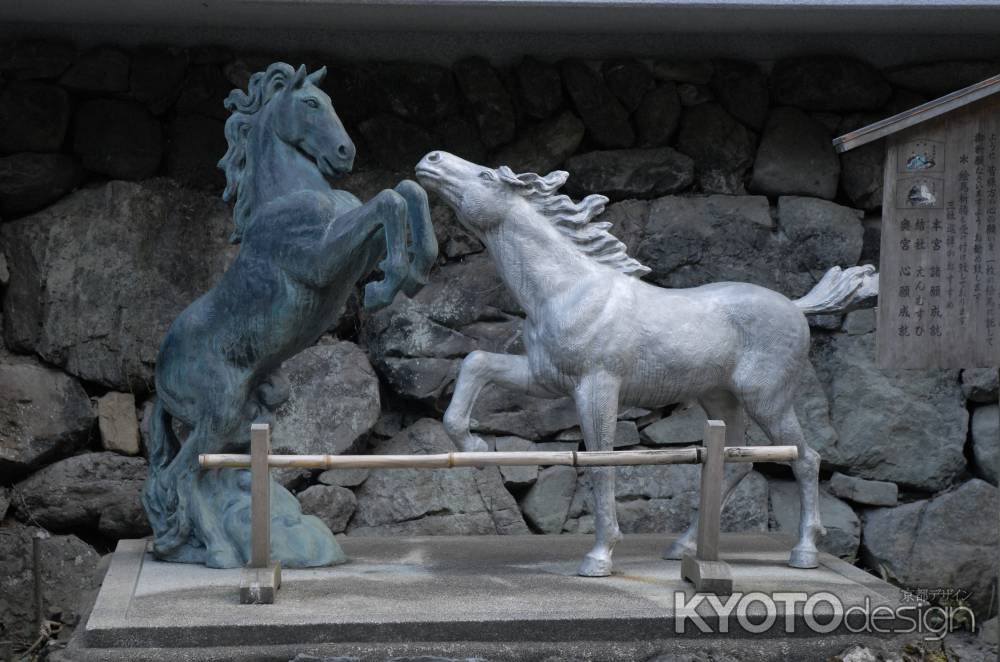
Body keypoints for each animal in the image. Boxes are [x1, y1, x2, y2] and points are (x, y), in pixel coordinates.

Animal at [143, 63, 436, 572]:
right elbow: (386, 199)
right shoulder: (323, 259)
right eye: (311, 103)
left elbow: (405, 192)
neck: (289, 195)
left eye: (330, 100)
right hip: (218, 413)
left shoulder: (356, 248)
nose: (345, 153)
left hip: (248, 415)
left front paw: (418, 266)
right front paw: (389, 284)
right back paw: (214, 552)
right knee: (177, 479)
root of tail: (160, 381)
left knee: (200, 477)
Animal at [416, 150, 876, 576]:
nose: (429, 160)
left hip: (767, 398)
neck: (568, 289)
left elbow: (601, 463)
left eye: (486, 175)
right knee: (737, 460)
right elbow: (476, 361)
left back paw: (804, 552)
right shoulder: (545, 378)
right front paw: (472, 445)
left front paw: (599, 557)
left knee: (806, 458)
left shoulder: (597, 386)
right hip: (721, 398)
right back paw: (683, 547)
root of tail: (796, 306)